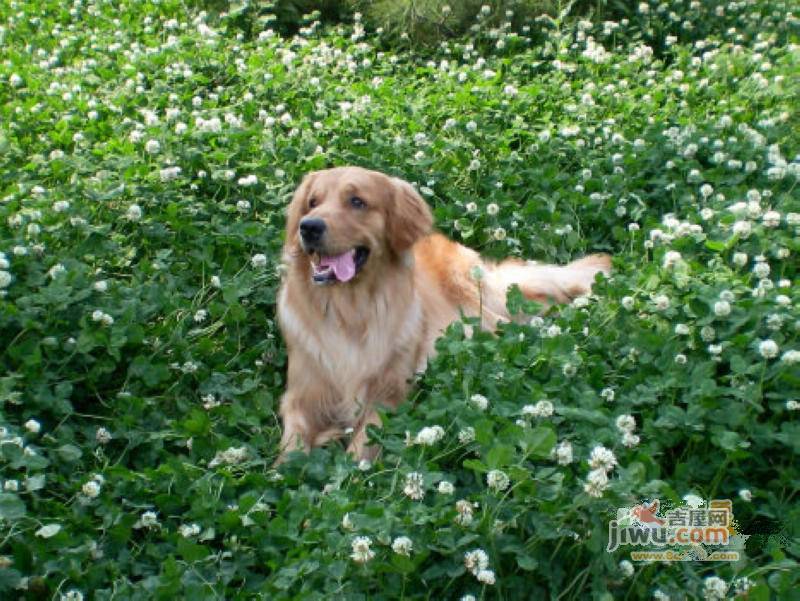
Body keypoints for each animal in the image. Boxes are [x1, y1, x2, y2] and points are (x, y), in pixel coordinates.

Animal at [278, 166, 608, 462]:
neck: (348, 311)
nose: (308, 226)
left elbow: (362, 444)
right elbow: (291, 445)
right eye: (312, 202)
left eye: (357, 201)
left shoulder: (389, 393)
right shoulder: (300, 396)